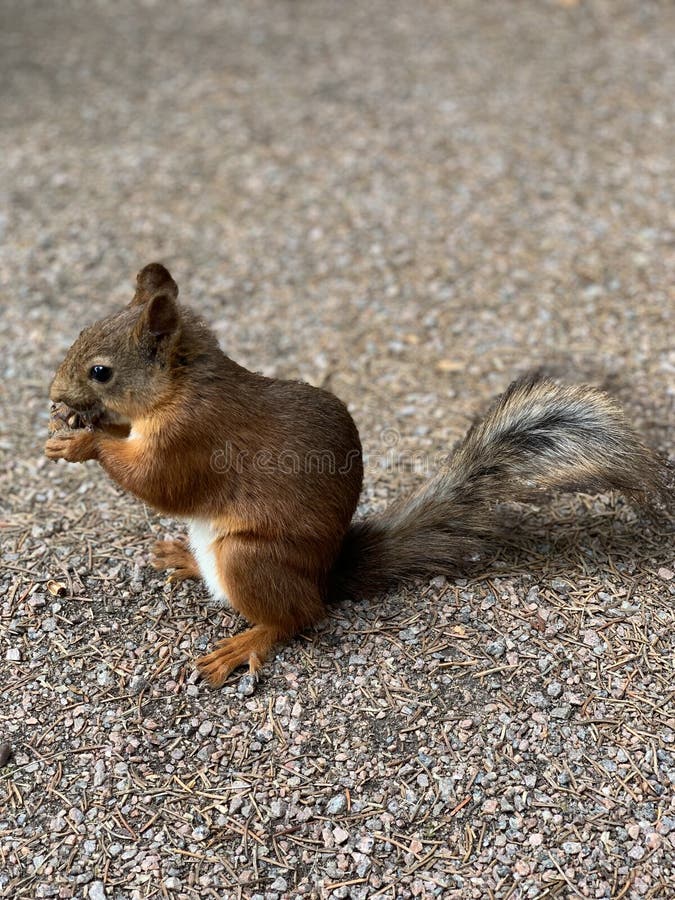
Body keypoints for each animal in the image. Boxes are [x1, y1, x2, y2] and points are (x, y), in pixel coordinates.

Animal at [45, 263, 667, 688]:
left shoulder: (192, 437)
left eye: (100, 372)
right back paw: (185, 559)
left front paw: (82, 440)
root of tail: (325, 577)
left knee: (297, 617)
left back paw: (245, 644)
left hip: (250, 557)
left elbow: (158, 482)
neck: (183, 382)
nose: (54, 395)